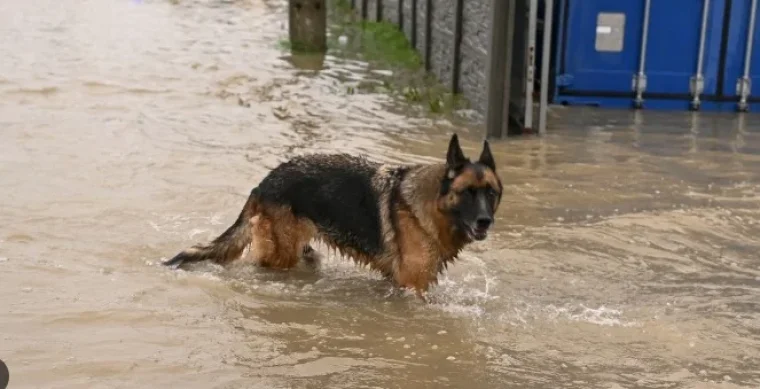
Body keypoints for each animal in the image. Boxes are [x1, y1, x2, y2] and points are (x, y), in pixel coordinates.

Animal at [163, 133, 502, 298]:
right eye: (468, 192)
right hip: (280, 254)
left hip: (302, 250)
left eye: (491, 193)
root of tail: (264, 182)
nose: (485, 221)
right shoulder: (411, 285)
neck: (433, 204)